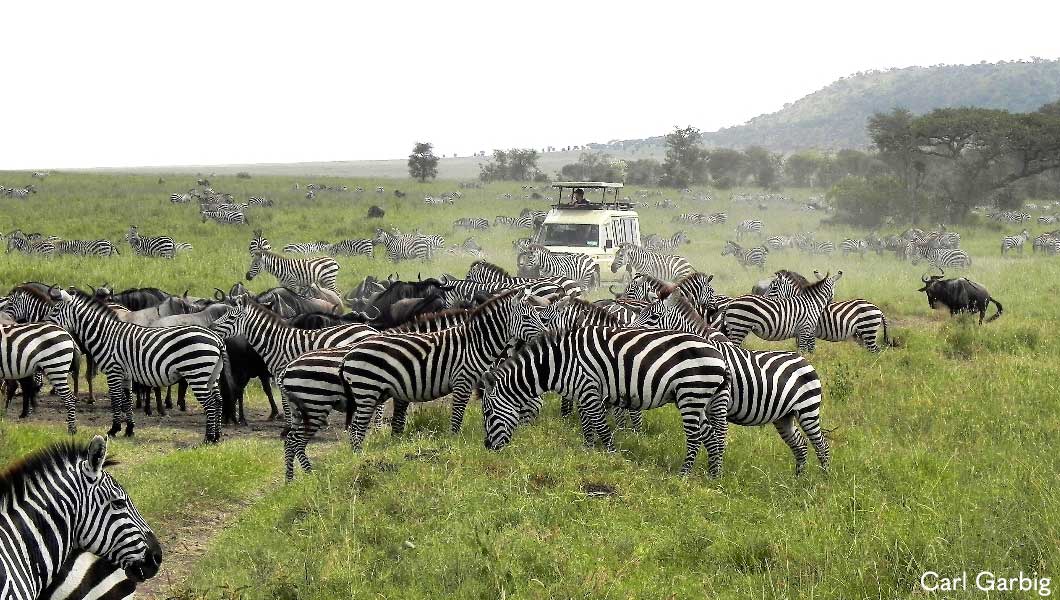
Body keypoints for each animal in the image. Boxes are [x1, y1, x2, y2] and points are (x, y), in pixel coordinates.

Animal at [48, 292, 226, 443]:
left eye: (55, 310)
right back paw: (216, 437)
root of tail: (216, 339)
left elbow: (116, 401)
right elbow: (127, 402)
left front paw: (114, 430)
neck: (105, 335)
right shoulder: (125, 375)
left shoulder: (113, 371)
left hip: (197, 373)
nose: (45, 325)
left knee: (210, 403)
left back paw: (208, 438)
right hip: (212, 376)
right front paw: (129, 430)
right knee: (218, 401)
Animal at [339, 288, 551, 451]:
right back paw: (359, 457)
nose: (546, 335)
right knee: (357, 430)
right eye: (527, 317)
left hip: (371, 393)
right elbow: (457, 418)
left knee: (356, 429)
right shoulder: (462, 382)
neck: (474, 344)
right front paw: (454, 443)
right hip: (367, 391)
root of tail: (348, 354)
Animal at [481, 326, 729, 477]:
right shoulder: (582, 392)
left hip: (690, 393)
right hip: (696, 398)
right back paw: (713, 474)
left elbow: (601, 426)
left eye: (488, 414)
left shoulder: (588, 388)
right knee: (710, 434)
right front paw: (588, 451)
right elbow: (587, 425)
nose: (488, 448)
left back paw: (684, 474)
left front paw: (612, 457)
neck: (557, 364)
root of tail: (719, 355)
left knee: (695, 437)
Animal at [627, 288, 826, 477]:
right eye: (641, 313)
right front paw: (712, 469)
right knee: (800, 444)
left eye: (654, 316)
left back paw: (824, 477)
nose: (628, 331)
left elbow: (718, 435)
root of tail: (805, 361)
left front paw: (717, 474)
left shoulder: (719, 402)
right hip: (784, 416)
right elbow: (709, 437)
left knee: (820, 443)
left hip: (807, 410)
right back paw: (799, 478)